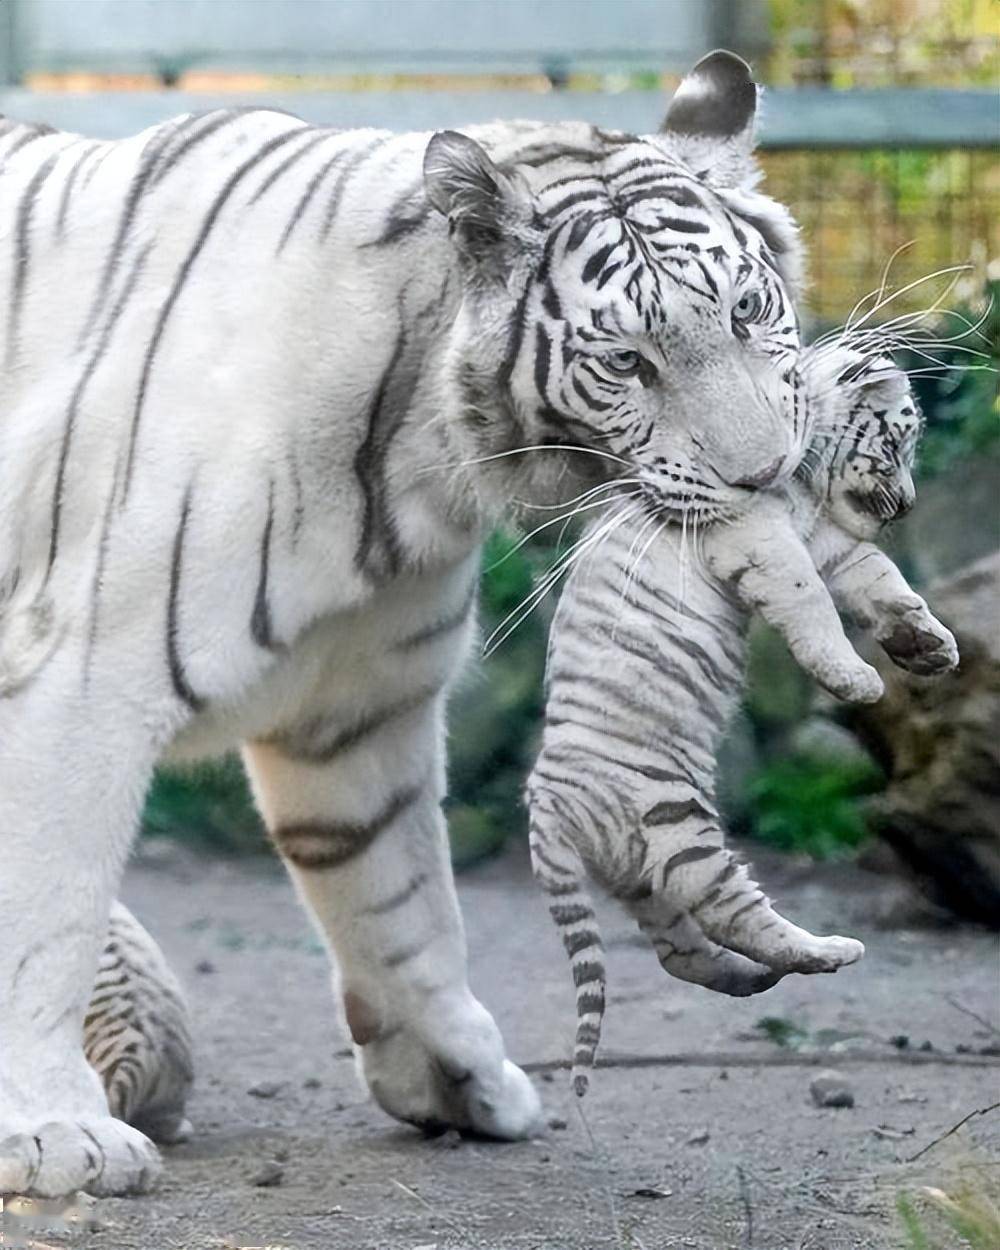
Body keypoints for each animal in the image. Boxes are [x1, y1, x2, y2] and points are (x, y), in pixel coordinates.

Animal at [0, 53, 820, 1195]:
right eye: (626, 363)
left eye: (747, 311)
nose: (766, 472)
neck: (414, 464)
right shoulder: (84, 680)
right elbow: (49, 910)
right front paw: (54, 1130)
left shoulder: (357, 706)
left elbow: (404, 902)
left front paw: (458, 1080)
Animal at [527, 347, 955, 1090]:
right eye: (897, 443)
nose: (907, 504)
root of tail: (546, 804)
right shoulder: (756, 535)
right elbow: (812, 601)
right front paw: (861, 680)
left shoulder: (830, 540)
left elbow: (881, 579)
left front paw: (932, 646)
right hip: (677, 825)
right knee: (731, 911)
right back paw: (826, 952)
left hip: (637, 878)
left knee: (679, 952)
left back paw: (755, 981)